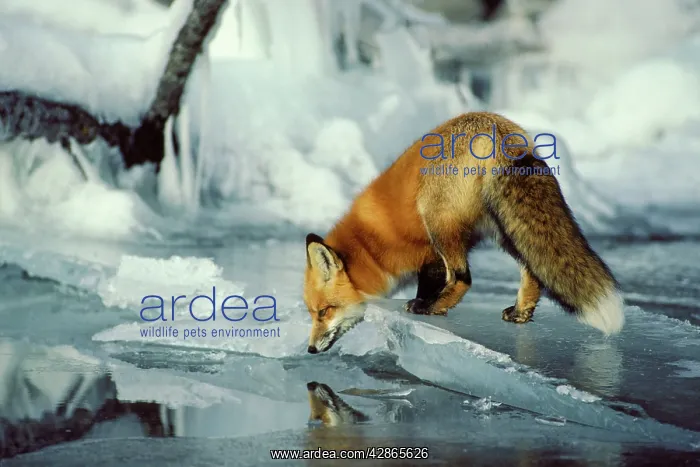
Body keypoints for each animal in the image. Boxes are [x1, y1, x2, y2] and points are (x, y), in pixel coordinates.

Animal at [303, 111, 624, 354]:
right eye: (313, 313)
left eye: (323, 312)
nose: (310, 349)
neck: (369, 247)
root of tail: (498, 129)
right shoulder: (431, 256)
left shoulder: (425, 250)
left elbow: (431, 281)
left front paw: (426, 305)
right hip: (504, 227)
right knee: (532, 272)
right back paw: (520, 313)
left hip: (437, 219)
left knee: (463, 277)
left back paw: (430, 307)